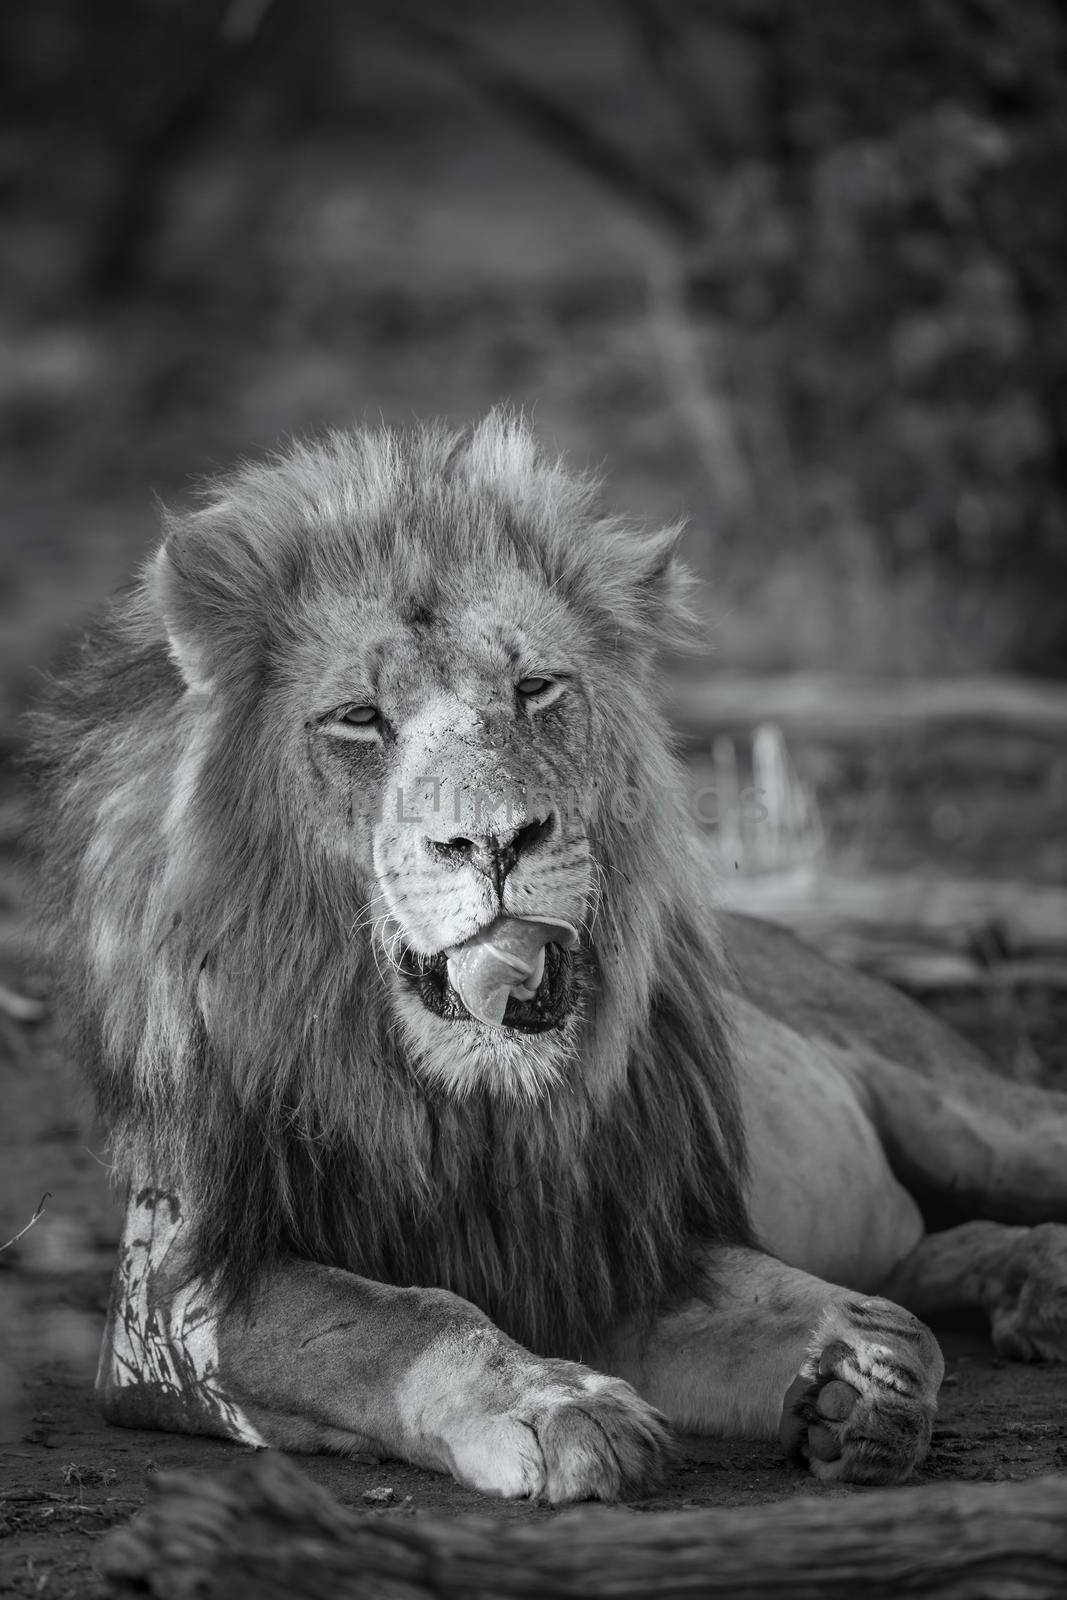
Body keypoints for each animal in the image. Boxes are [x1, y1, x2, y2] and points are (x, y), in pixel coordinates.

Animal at [22, 416, 1067, 1497]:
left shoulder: (624, 1247)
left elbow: (835, 1311)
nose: (493, 841)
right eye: (358, 717)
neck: (467, 1105)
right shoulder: (173, 1297)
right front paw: (559, 1407)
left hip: (974, 1124)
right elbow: (400, 1321)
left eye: (533, 689)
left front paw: (858, 1370)